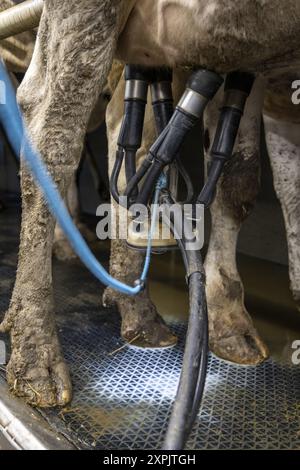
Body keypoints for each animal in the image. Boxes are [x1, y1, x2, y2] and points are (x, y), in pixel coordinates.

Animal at [0, 0, 298, 406]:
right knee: (52, 130)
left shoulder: (253, 61)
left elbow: (241, 179)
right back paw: (36, 355)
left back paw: (130, 300)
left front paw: (230, 320)